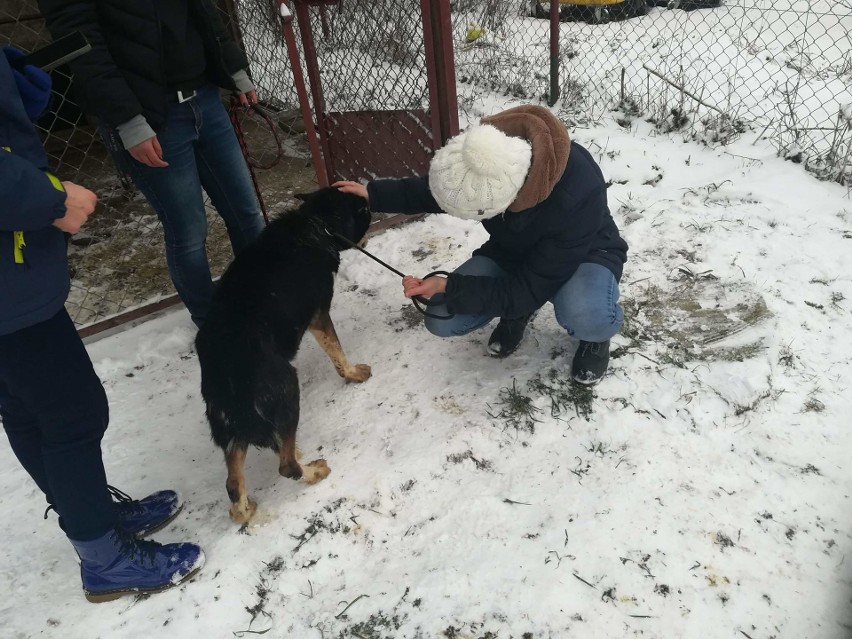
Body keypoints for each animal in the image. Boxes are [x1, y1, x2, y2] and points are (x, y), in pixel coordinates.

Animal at [195, 186, 372, 524]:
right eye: (364, 211)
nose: (371, 205)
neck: (314, 224)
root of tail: (226, 380)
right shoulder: (319, 316)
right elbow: (336, 351)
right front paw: (353, 374)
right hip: (287, 390)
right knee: (286, 465)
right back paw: (313, 472)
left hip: (231, 432)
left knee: (233, 484)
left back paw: (245, 509)